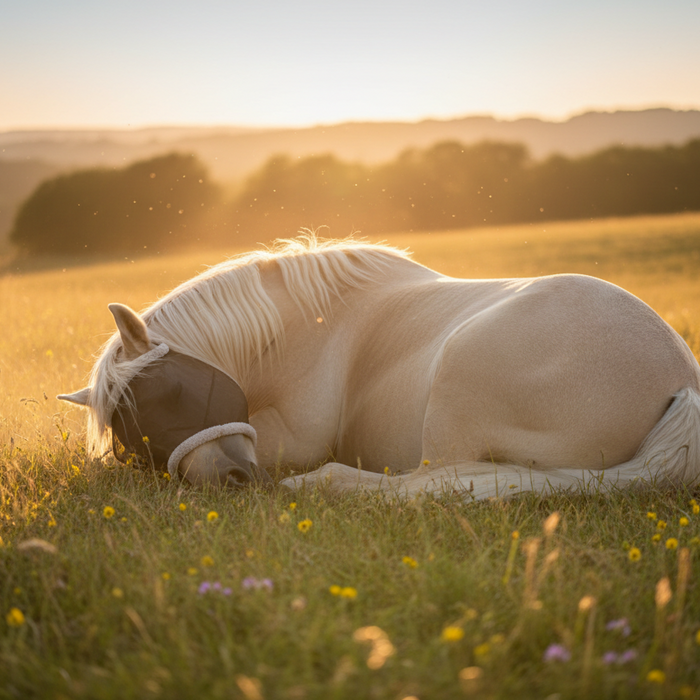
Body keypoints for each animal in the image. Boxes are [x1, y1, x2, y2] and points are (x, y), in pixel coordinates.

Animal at [58, 235, 700, 500]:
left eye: (169, 394)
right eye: (130, 433)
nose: (232, 480)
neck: (307, 326)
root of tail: (682, 382)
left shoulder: (290, 439)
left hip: (455, 384)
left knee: (427, 484)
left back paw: (326, 484)